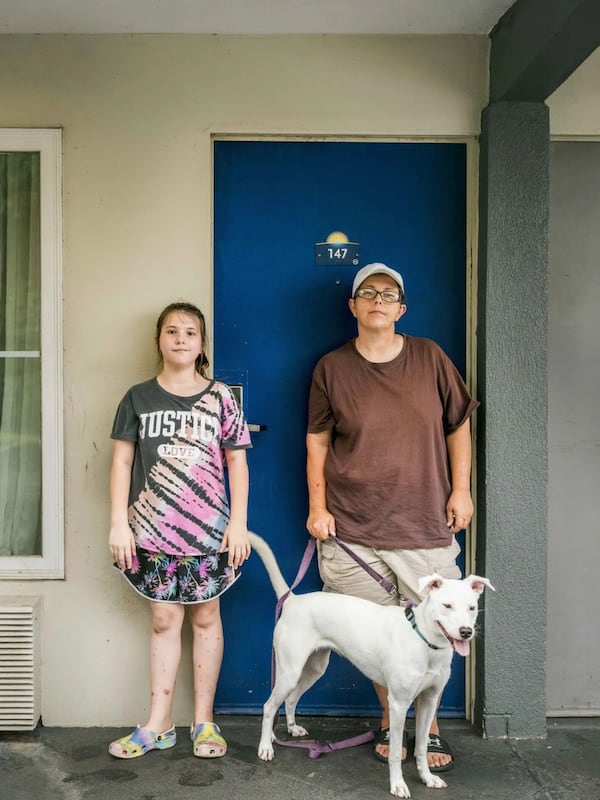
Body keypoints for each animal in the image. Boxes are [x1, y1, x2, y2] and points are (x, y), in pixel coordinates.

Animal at [248, 532, 494, 798]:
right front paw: (398, 785)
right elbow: (396, 752)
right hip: (289, 670)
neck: (425, 641)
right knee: (269, 706)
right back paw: (265, 746)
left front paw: (427, 778)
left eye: (472, 608)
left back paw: (292, 729)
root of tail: (293, 600)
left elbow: (421, 746)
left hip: (315, 668)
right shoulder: (398, 704)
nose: (466, 632)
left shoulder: (429, 700)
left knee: (291, 698)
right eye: (447, 606)